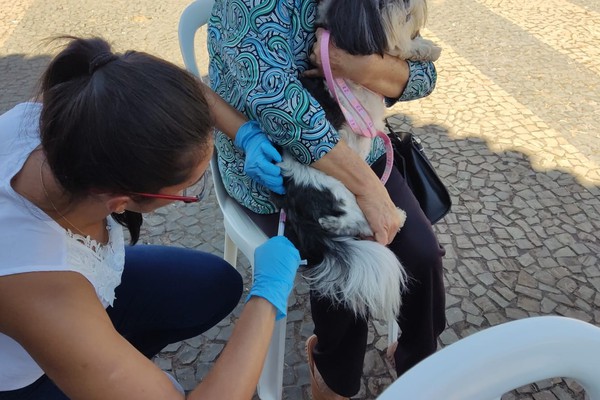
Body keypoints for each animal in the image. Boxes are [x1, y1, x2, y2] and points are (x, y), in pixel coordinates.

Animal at [274, 0, 438, 322]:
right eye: (380, 4)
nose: (404, 3)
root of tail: (294, 204)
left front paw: (427, 47)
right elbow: (397, 45)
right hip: (344, 196)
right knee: (357, 222)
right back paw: (395, 217)